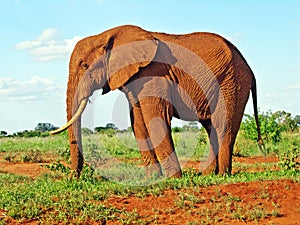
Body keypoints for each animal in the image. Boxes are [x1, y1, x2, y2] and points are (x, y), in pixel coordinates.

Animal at [49, 25, 262, 179]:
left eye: (85, 66)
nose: (74, 178)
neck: (108, 34)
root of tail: (249, 68)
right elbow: (138, 123)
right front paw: (152, 179)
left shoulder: (154, 73)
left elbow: (155, 119)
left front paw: (173, 179)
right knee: (211, 127)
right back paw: (207, 174)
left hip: (232, 82)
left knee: (221, 124)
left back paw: (221, 176)